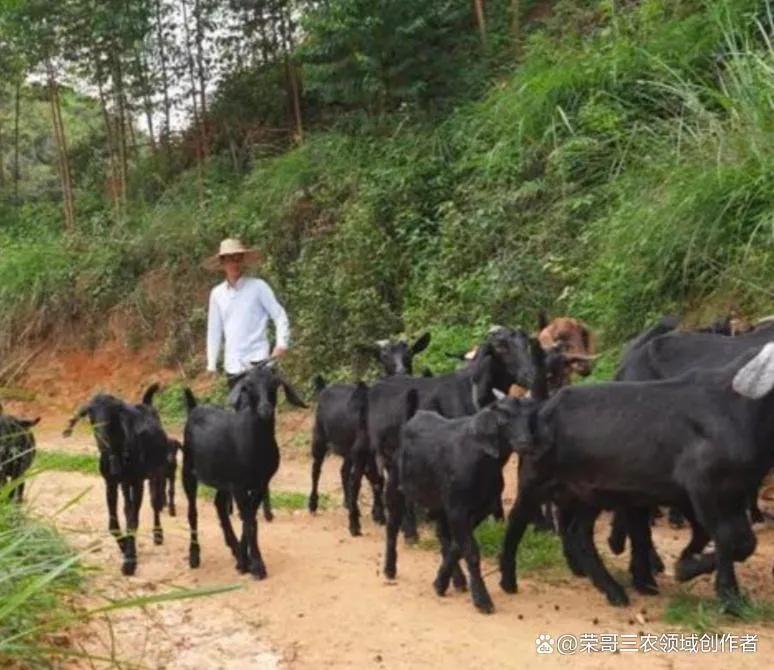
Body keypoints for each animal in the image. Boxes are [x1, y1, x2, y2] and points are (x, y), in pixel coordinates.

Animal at [62, 384, 168, 576]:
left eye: (112, 413)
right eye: (91, 414)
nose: (102, 440)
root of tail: (147, 405)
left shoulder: (136, 482)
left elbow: (133, 520)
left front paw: (130, 561)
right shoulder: (110, 483)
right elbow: (114, 523)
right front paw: (124, 546)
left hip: (157, 472)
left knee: (155, 503)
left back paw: (158, 535)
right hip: (126, 484)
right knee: (130, 506)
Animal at [182, 364, 306, 580]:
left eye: (274, 384)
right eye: (248, 386)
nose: (265, 409)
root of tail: (194, 408)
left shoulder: (259, 484)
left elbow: (250, 519)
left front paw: (243, 560)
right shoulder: (239, 485)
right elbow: (248, 521)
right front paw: (256, 565)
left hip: (223, 480)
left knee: (219, 505)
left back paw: (233, 548)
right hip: (188, 471)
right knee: (192, 512)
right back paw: (194, 556)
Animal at [308, 334, 430, 540]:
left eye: (410, 353)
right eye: (383, 356)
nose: (401, 372)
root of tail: (324, 387)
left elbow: (382, 482)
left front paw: (403, 526)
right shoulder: (363, 452)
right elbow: (365, 481)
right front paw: (355, 524)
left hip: (349, 449)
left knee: (345, 470)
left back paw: (348, 502)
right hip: (320, 437)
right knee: (317, 469)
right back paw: (313, 504)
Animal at [394, 394, 540, 616]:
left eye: (529, 417)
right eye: (504, 419)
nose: (526, 443)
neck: (482, 462)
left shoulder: (480, 509)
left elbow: (458, 546)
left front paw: (440, 582)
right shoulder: (457, 509)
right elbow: (470, 551)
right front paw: (482, 600)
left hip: (439, 505)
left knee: (442, 535)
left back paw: (457, 580)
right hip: (409, 489)